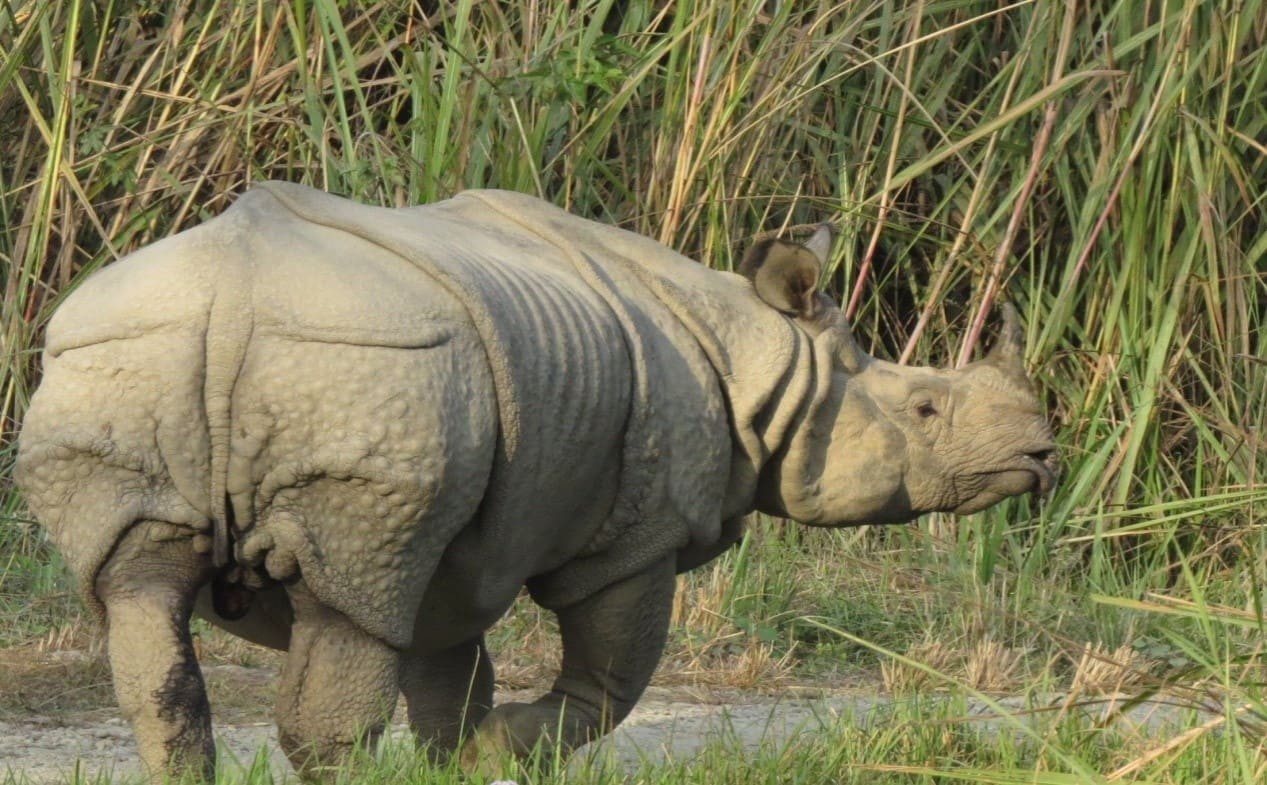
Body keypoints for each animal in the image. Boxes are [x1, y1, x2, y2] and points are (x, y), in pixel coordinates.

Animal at [15, 183, 1058, 781]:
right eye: (924, 409)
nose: (1043, 454)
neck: (763, 358)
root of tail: (233, 299)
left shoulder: (460, 526)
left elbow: (447, 667)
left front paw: (455, 764)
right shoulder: (636, 535)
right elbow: (611, 676)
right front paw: (494, 753)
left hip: (127, 359)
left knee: (139, 594)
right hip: (364, 365)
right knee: (346, 608)